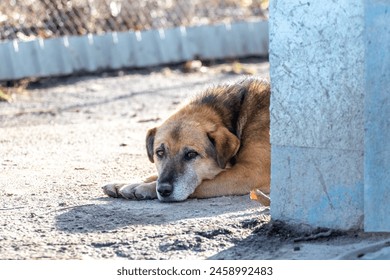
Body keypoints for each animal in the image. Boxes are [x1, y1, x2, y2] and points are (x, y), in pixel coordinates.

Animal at [102, 77, 270, 205]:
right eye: (160, 153)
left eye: (191, 154)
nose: (163, 190)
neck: (239, 112)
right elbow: (154, 175)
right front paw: (126, 183)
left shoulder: (251, 172)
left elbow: (202, 184)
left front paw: (145, 188)